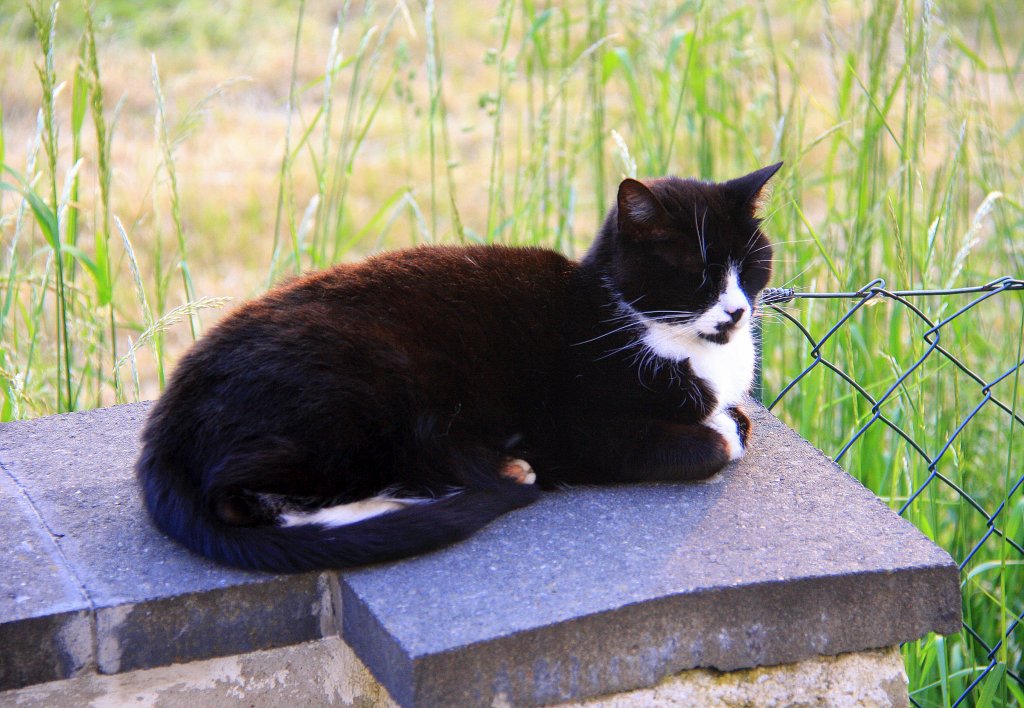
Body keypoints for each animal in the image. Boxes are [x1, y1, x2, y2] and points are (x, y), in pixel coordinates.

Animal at [134, 162, 774, 573]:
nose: (737, 310)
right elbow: (718, 439)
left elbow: (740, 417)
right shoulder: (579, 427)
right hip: (361, 386)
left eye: (751, 265)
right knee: (241, 498)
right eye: (697, 275)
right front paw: (719, 430)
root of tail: (164, 429)